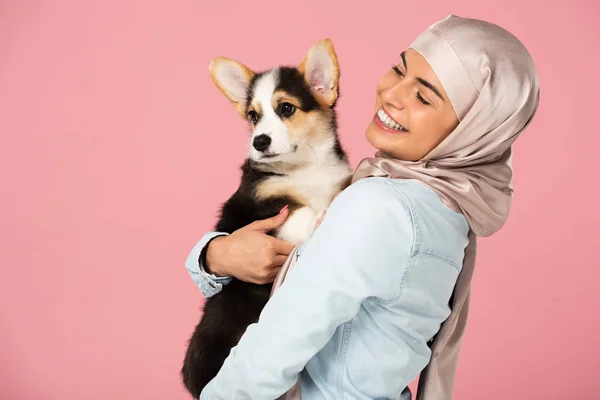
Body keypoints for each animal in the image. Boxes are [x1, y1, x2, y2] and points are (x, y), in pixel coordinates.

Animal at [180, 36, 354, 396]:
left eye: (286, 108)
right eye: (253, 116)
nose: (259, 142)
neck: (304, 166)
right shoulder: (265, 209)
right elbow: (300, 212)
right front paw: (321, 213)